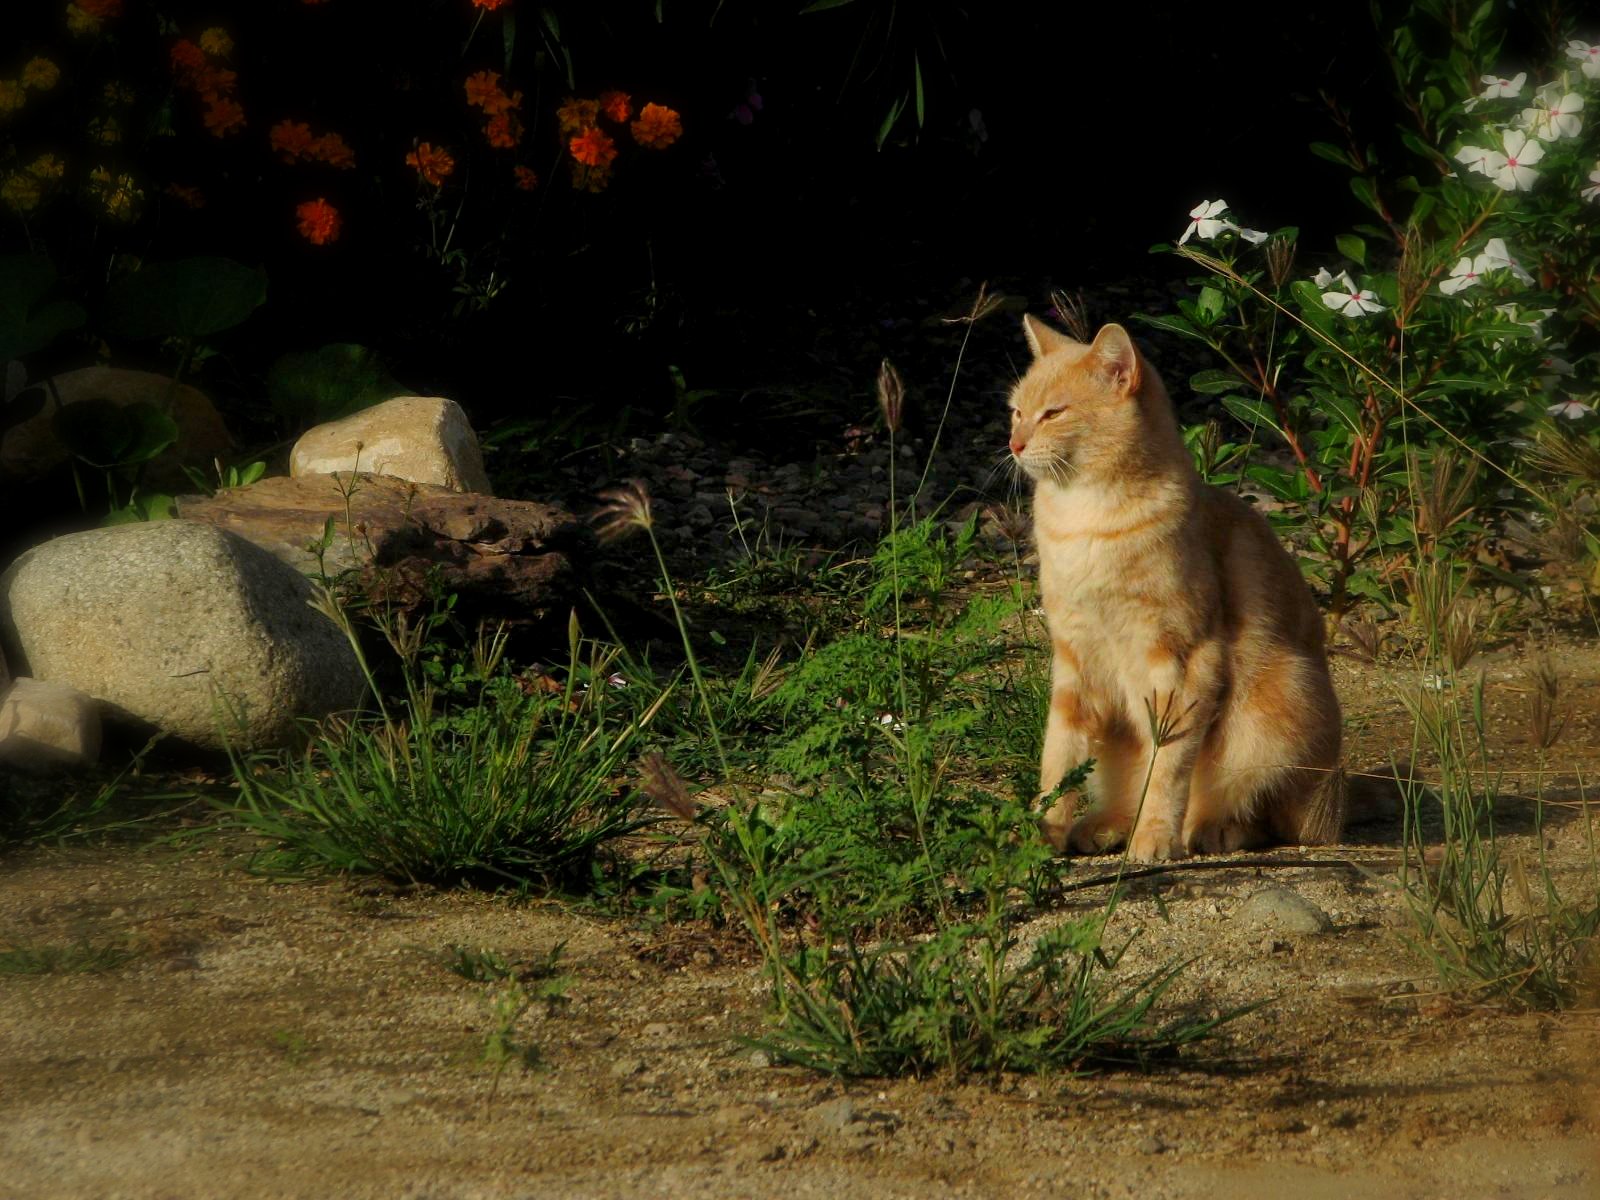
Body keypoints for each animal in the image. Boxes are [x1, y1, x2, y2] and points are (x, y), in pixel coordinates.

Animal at [1017, 320, 1344, 864]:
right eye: (1016, 411)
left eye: (1053, 413)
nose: (1014, 443)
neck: (1085, 524)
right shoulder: (1074, 661)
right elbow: (1059, 759)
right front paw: (1041, 835)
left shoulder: (1184, 662)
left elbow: (1167, 769)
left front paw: (1155, 837)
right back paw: (1108, 825)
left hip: (1278, 704)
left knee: (1265, 815)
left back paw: (1212, 829)